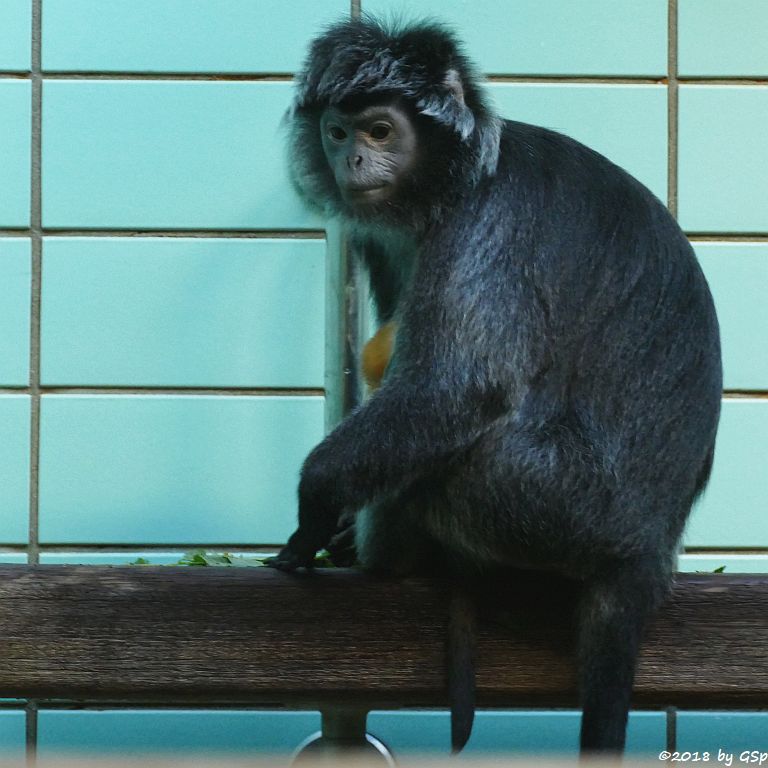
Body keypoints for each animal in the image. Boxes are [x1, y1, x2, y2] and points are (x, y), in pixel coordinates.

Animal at [268, 16, 724, 756]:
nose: (353, 162)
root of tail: (648, 548)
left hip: (543, 498)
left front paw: (316, 504)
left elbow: (458, 390)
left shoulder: (491, 218)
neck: (452, 182)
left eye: (381, 131)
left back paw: (387, 558)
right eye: (337, 132)